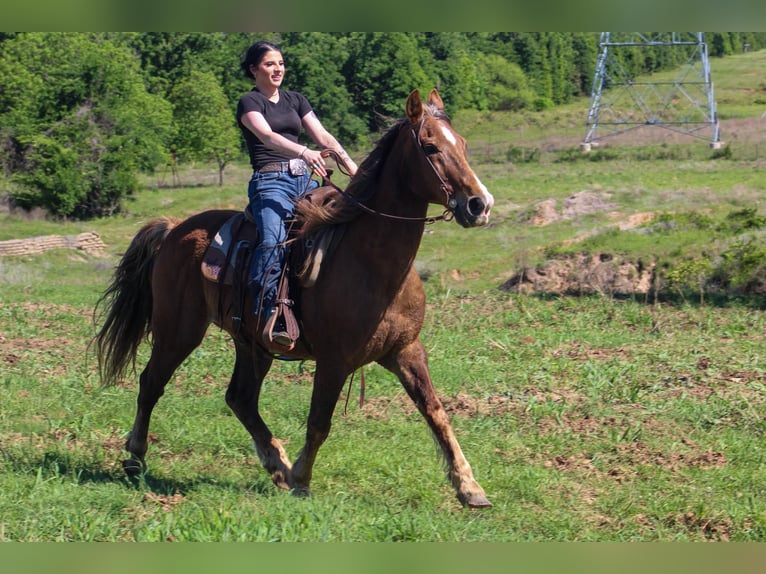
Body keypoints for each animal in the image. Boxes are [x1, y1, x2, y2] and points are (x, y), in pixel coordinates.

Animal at [94, 88, 494, 508]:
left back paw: (277, 466)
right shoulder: (335, 360)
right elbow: (319, 421)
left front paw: (469, 487)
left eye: (463, 144)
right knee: (151, 383)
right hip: (178, 332)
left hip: (252, 344)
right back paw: (136, 457)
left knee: (240, 398)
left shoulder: (406, 350)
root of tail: (173, 229)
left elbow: (436, 412)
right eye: (430, 147)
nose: (479, 204)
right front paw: (303, 478)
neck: (369, 261)